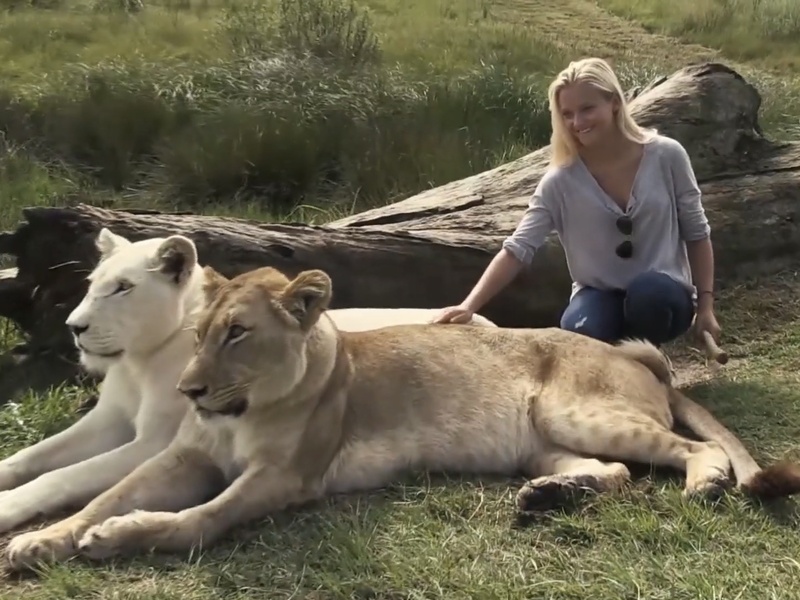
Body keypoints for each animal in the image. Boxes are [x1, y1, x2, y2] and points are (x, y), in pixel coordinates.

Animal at [6, 266, 799, 570]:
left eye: (238, 334)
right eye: (198, 332)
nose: (190, 390)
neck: (241, 410)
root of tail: (641, 361)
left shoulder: (284, 478)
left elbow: (197, 520)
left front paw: (117, 538)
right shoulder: (184, 455)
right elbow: (105, 493)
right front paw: (40, 540)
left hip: (576, 408)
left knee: (687, 450)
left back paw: (704, 483)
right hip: (542, 441)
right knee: (614, 473)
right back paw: (547, 498)